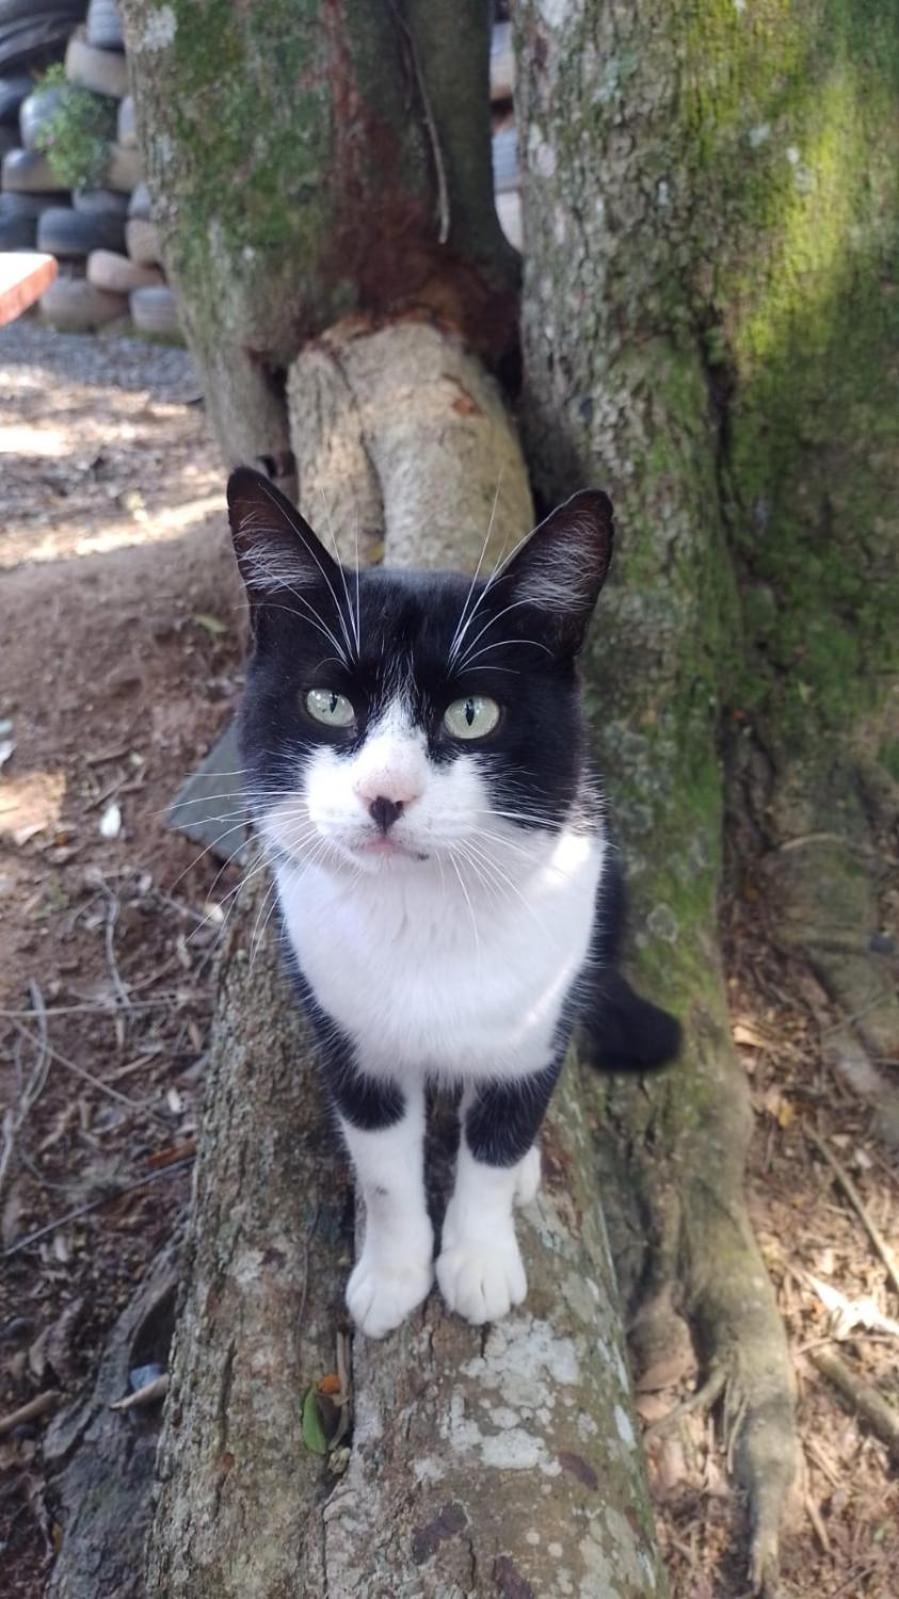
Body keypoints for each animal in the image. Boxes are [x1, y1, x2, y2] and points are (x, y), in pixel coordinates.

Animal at [227, 470, 675, 1336]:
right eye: (329, 703)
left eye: (472, 714)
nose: (385, 794)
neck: (422, 907)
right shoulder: (350, 1037)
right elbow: (384, 1167)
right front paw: (394, 1273)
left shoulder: (534, 1017)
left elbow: (495, 1147)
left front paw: (479, 1261)